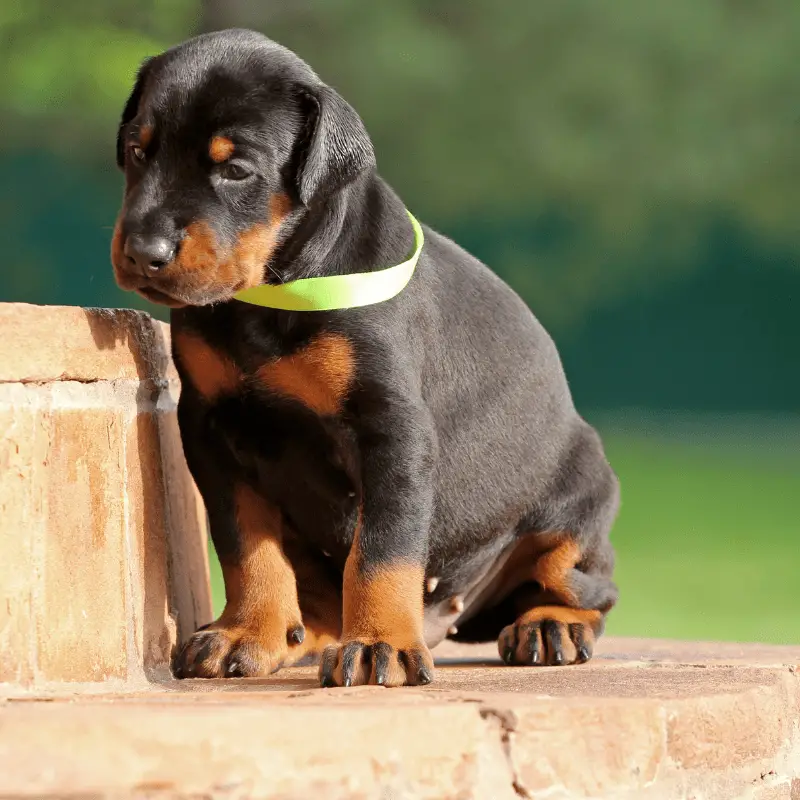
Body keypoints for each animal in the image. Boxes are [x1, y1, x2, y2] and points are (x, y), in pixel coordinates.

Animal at [111, 29, 620, 688]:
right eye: (137, 151)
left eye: (237, 169)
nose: (142, 252)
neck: (273, 291)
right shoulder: (210, 428)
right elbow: (246, 544)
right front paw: (247, 632)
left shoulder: (393, 428)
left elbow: (383, 548)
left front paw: (382, 644)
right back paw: (296, 633)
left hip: (576, 503)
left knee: (587, 587)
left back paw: (550, 624)